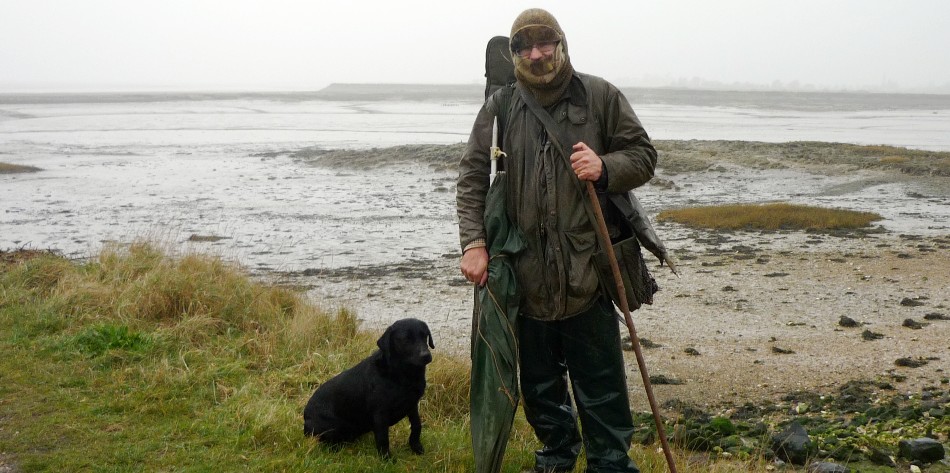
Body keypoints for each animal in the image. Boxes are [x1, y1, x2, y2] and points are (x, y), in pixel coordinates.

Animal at [303, 318, 434, 458]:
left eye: (425, 335)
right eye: (405, 339)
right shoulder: (380, 413)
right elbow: (383, 438)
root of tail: (305, 417)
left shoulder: (412, 404)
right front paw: (386, 459)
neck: (401, 375)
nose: (426, 355)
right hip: (331, 426)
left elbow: (417, 425)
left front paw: (416, 447)